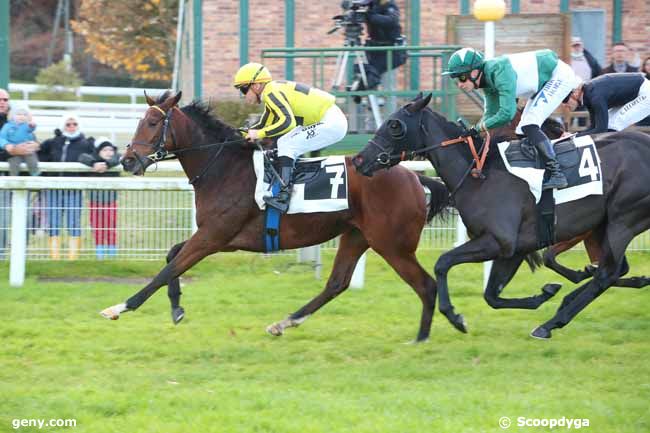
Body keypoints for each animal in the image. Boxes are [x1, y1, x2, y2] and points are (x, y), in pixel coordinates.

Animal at [100, 90, 456, 340]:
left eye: (152, 123)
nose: (128, 160)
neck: (224, 168)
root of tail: (414, 177)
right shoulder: (223, 238)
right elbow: (171, 256)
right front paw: (176, 307)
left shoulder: (213, 236)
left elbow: (168, 268)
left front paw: (120, 307)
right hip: (357, 235)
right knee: (336, 284)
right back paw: (284, 323)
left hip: (392, 244)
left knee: (425, 285)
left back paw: (423, 337)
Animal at [352, 93, 648, 338]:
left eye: (394, 125)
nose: (358, 160)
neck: (480, 174)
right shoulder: (514, 249)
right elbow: (491, 296)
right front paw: (544, 293)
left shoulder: (497, 241)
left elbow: (443, 262)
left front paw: (455, 317)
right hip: (603, 224)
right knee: (613, 270)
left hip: (623, 219)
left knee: (607, 273)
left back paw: (552, 323)